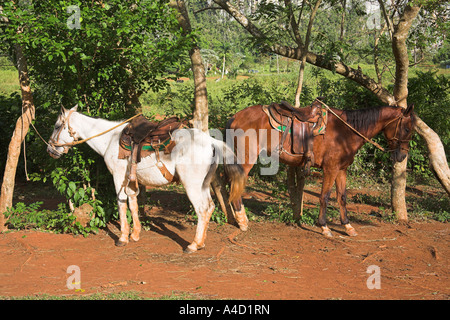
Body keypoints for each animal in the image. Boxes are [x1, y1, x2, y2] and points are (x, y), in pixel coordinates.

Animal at [47, 105, 248, 252]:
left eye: (57, 126)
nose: (50, 150)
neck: (110, 139)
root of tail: (212, 142)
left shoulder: (118, 176)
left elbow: (121, 203)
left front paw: (122, 238)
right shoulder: (130, 180)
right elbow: (133, 202)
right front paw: (135, 234)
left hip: (191, 185)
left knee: (202, 208)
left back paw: (193, 245)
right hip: (204, 184)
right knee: (210, 206)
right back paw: (201, 242)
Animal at [227, 100, 416, 238]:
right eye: (407, 129)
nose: (402, 156)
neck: (345, 131)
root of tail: (235, 117)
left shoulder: (341, 169)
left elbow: (342, 197)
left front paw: (348, 226)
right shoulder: (330, 169)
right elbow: (325, 197)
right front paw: (324, 227)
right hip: (246, 159)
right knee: (235, 186)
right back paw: (242, 221)